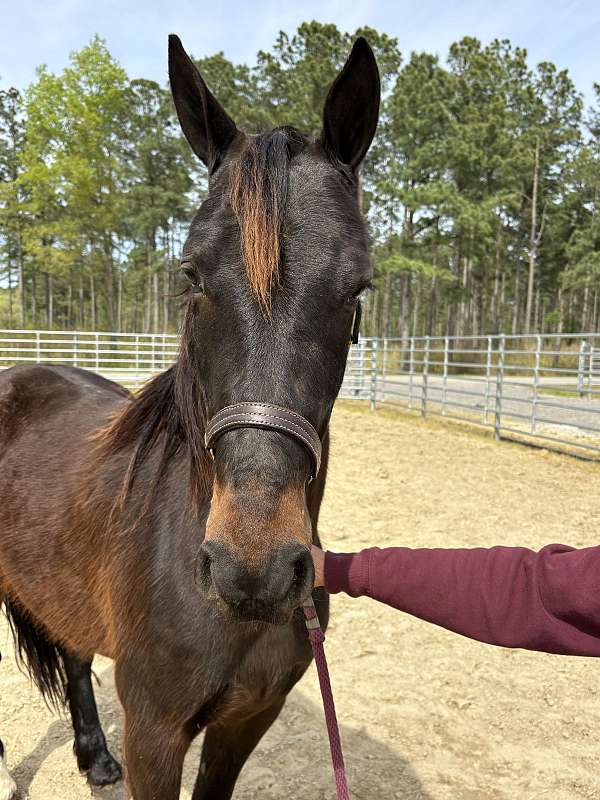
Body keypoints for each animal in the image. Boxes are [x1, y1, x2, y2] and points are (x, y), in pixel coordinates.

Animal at [0, 34, 380, 800]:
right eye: (191, 274)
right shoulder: (155, 734)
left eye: (357, 286)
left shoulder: (245, 723)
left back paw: (95, 757)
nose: (253, 570)